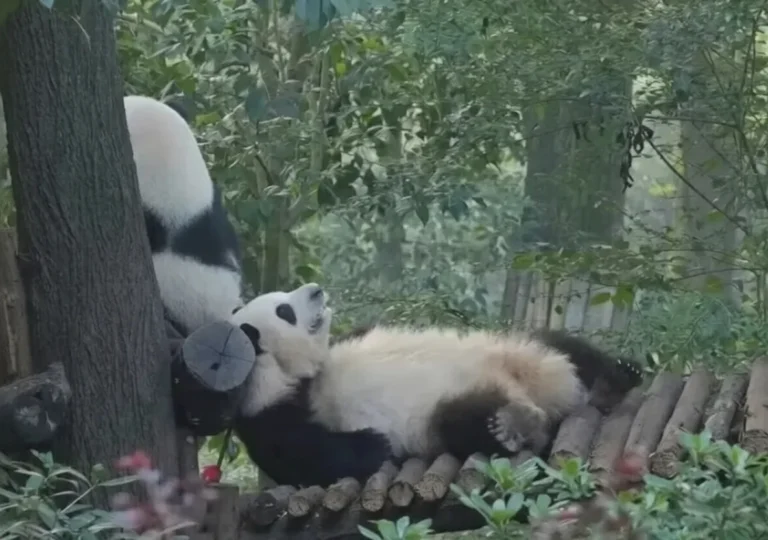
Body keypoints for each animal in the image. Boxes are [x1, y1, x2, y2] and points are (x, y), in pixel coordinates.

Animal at [229, 283, 643, 488]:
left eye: (284, 300)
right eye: (285, 311)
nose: (315, 289)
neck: (296, 371)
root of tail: (555, 394)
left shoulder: (348, 339)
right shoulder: (268, 411)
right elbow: (307, 456)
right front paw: (373, 444)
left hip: (521, 346)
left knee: (566, 348)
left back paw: (614, 377)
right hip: (440, 417)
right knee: (466, 423)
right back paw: (512, 425)